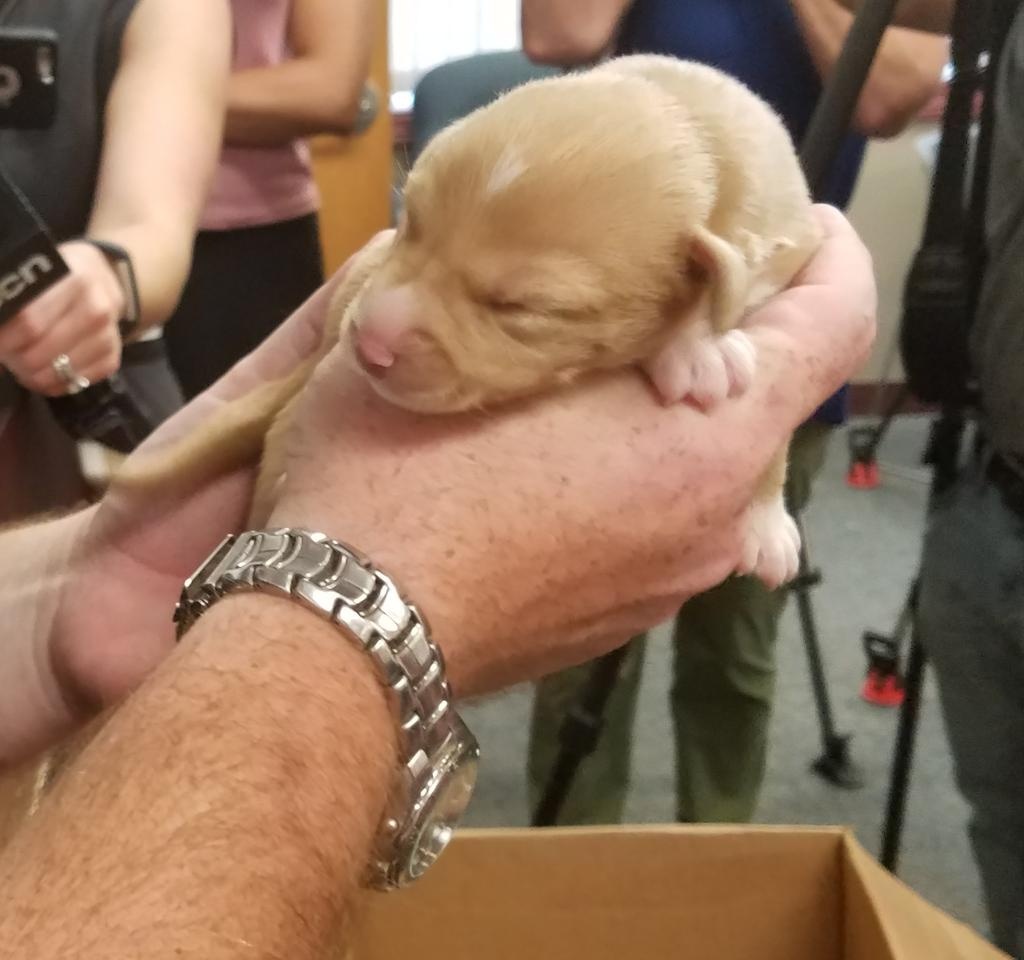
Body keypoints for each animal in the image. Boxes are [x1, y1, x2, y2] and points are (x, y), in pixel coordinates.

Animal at [121, 58, 823, 589]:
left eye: (523, 308)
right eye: (409, 219)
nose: (368, 341)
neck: (687, 124)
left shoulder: (792, 243)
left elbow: (780, 414)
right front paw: (696, 349)